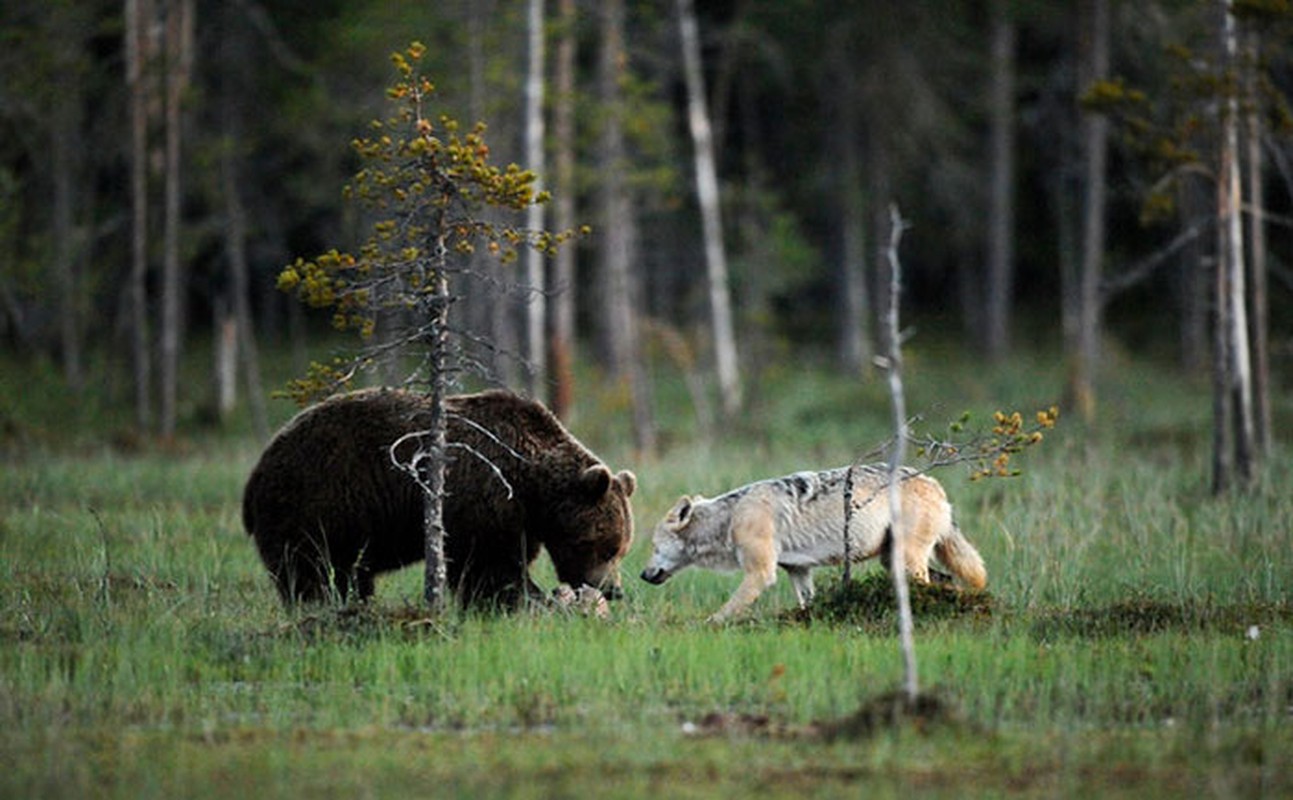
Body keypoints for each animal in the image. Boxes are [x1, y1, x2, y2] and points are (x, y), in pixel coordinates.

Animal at [243, 387, 636, 607]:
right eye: (604, 546)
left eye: (621, 548)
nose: (611, 589)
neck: (531, 484)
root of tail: (257, 471)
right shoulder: (485, 499)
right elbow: (490, 567)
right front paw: (525, 600)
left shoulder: (521, 518)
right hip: (316, 501)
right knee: (309, 570)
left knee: (348, 574)